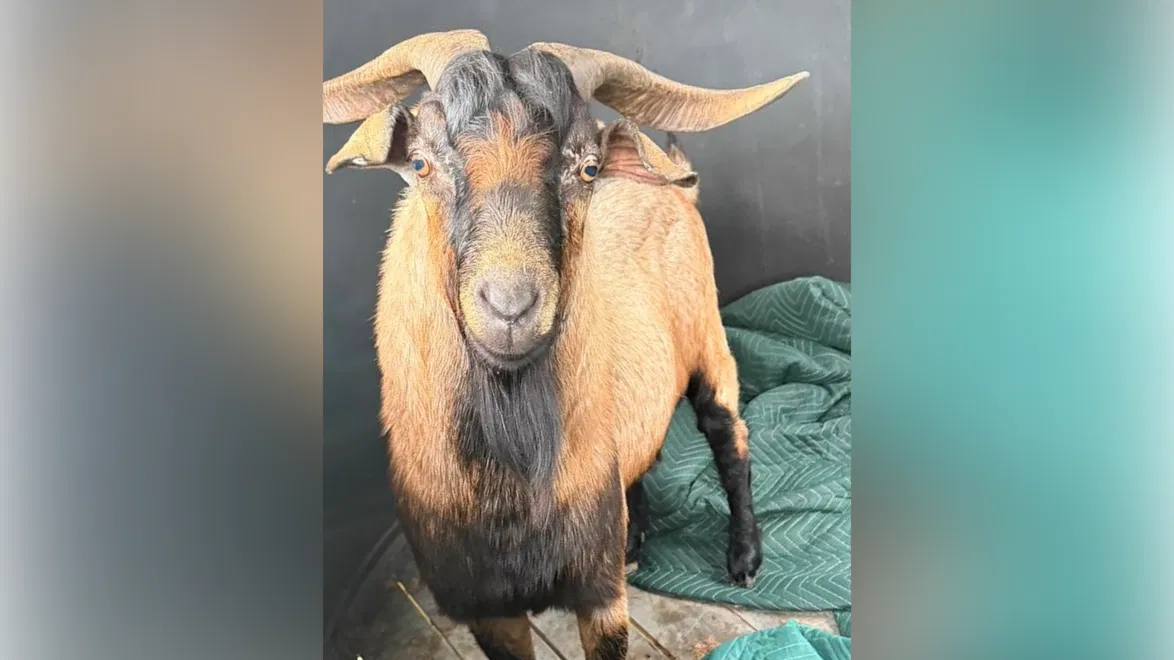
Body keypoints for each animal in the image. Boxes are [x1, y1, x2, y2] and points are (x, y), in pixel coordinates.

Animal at [323, 30, 807, 660]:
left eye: (587, 167)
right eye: (421, 162)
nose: (510, 307)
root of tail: (678, 183)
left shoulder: (599, 594)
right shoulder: (485, 607)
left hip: (709, 342)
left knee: (731, 442)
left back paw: (744, 558)